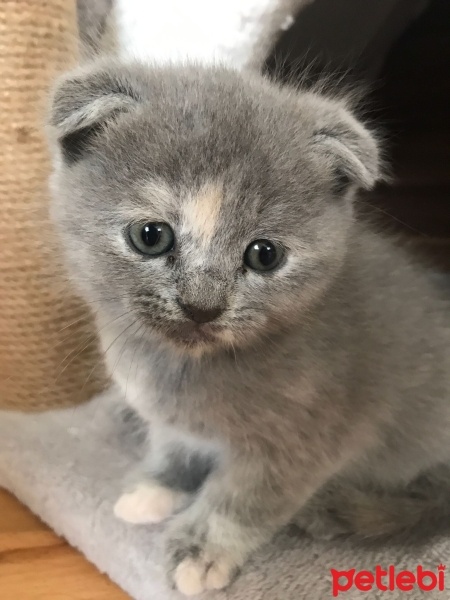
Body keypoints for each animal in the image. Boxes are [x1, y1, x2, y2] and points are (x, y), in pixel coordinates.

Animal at [47, 61, 450, 596]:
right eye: (150, 236)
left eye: (264, 254)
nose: (202, 306)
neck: (182, 367)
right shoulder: (170, 420)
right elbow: (172, 444)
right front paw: (156, 488)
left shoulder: (306, 437)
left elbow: (242, 501)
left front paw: (201, 552)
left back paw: (335, 511)